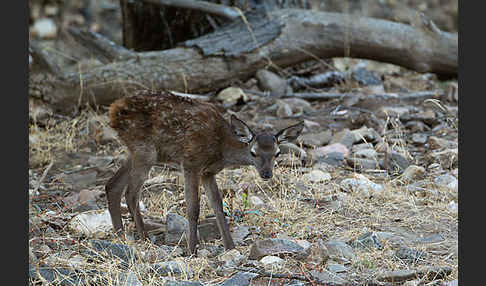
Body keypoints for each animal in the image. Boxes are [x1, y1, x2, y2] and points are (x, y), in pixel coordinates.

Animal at [105, 89, 304, 255]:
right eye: (253, 153)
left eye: (277, 153)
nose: (266, 174)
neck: (221, 150)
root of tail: (113, 110)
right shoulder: (191, 163)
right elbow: (193, 208)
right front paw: (192, 249)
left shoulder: (208, 172)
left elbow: (218, 205)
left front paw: (230, 246)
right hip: (145, 151)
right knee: (131, 193)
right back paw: (144, 237)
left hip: (139, 151)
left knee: (112, 185)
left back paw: (120, 234)